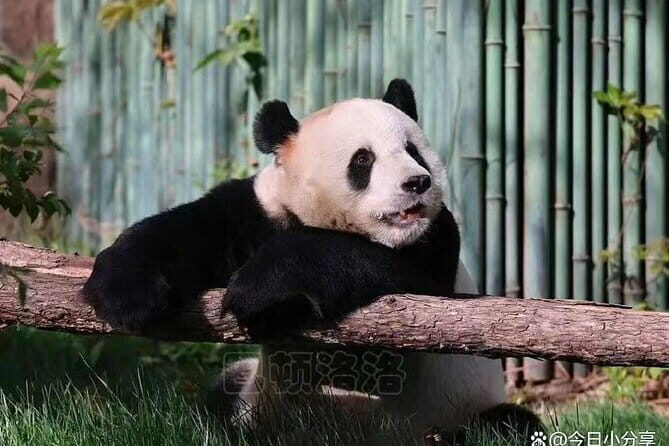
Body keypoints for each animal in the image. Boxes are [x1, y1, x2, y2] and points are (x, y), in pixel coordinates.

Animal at [83, 79, 541, 440]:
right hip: (254, 395)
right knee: (222, 394)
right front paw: (124, 294)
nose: (417, 183)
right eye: (364, 159)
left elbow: (391, 284)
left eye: (413, 150)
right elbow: (190, 232)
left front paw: (258, 289)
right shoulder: (258, 212)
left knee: (507, 426)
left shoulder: (435, 242)